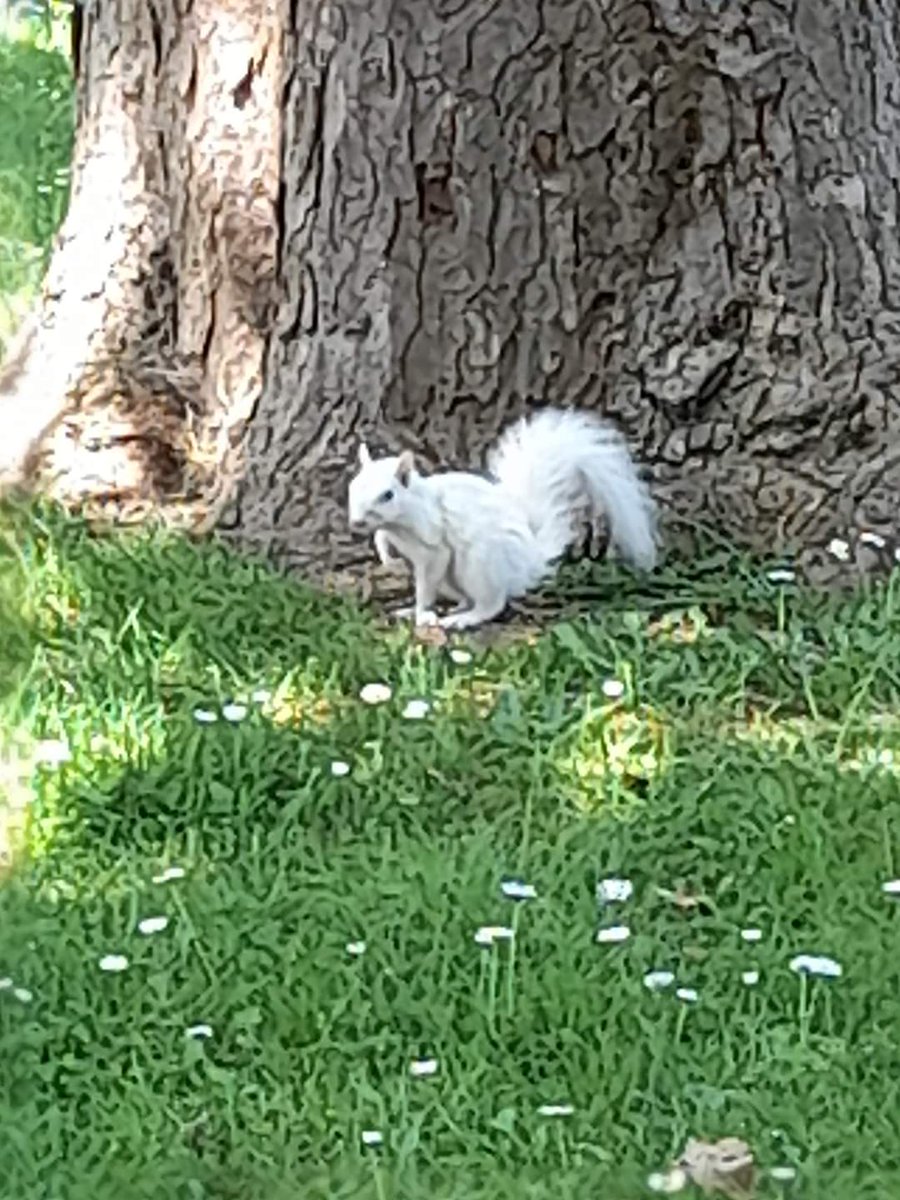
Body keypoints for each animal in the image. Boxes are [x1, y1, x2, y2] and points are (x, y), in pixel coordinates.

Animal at [348, 408, 657, 633]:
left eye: (388, 495)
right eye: (353, 485)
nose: (356, 523)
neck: (400, 520)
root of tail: (528, 563)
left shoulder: (432, 541)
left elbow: (429, 577)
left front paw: (423, 612)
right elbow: (381, 537)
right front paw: (387, 556)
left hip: (479, 565)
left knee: (491, 604)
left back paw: (462, 618)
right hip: (457, 578)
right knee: (466, 598)